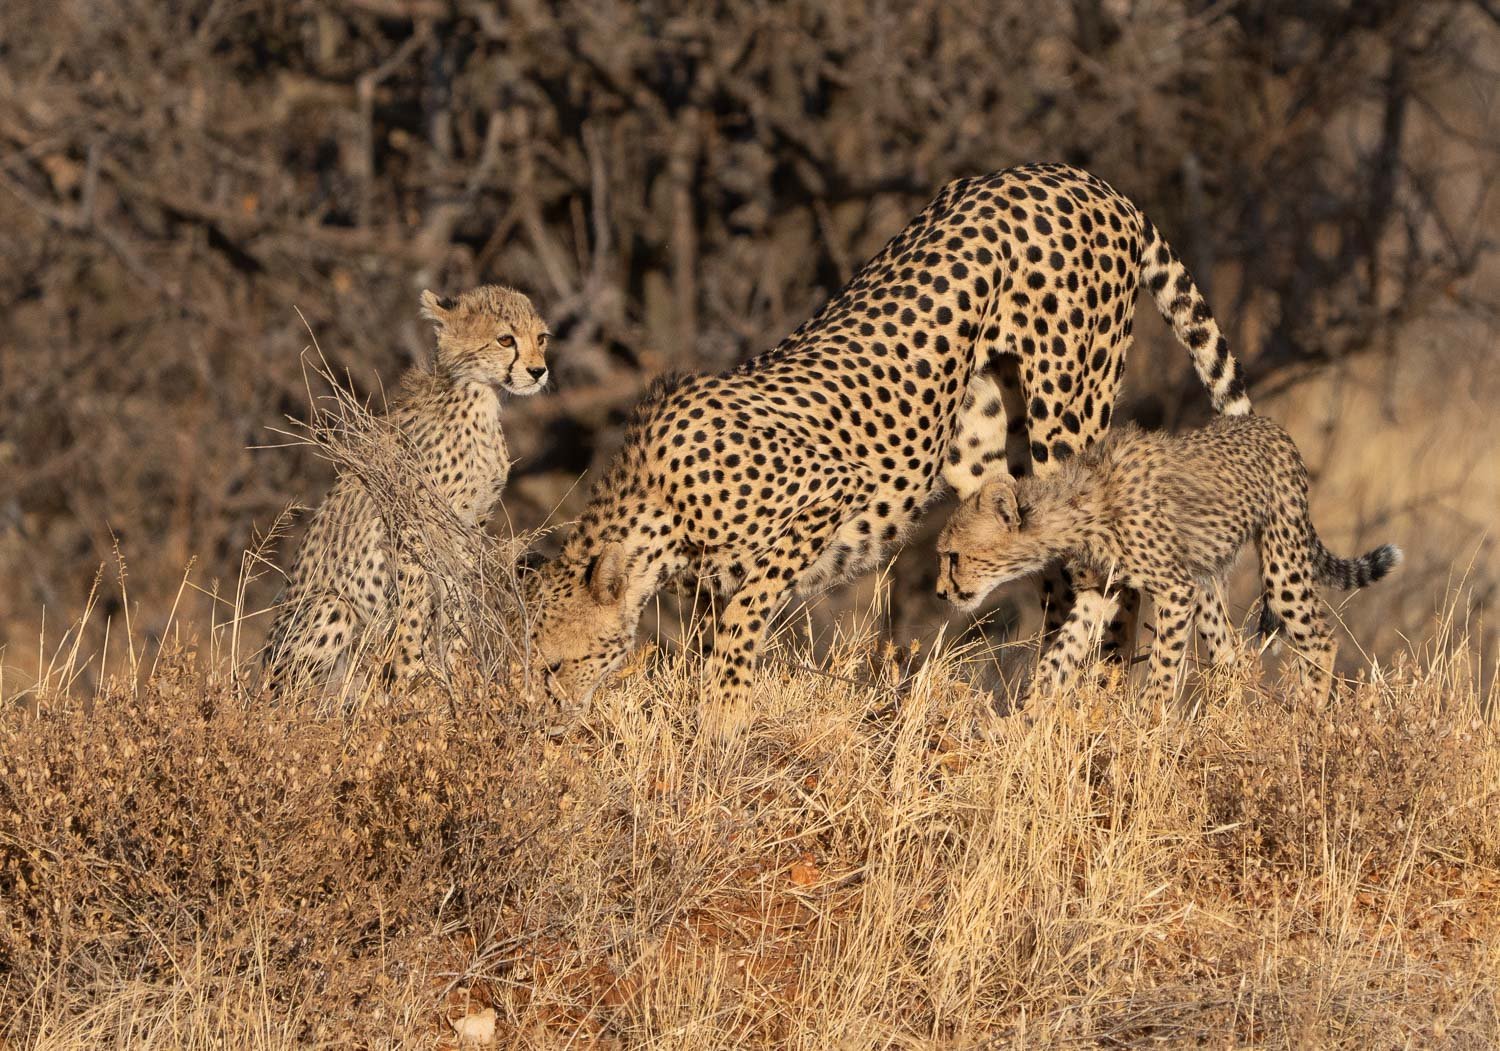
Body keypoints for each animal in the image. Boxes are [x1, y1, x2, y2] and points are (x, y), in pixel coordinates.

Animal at [262, 285, 550, 692]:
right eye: (505, 339)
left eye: (541, 338)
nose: (538, 371)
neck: (479, 401)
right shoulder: (411, 522)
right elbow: (415, 596)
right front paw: (410, 666)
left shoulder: (468, 526)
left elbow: (459, 592)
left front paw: (453, 664)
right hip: (329, 608)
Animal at [527, 163, 1250, 738]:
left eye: (557, 663)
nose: (546, 714)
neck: (652, 500)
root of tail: (1077, 176)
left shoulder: (828, 489)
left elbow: (742, 618)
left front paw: (725, 718)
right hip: (981, 446)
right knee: (1048, 556)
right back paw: (1069, 692)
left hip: (1067, 408)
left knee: (1106, 557)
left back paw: (1084, 693)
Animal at [935, 414, 1401, 706]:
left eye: (953, 556)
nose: (941, 593)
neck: (1077, 511)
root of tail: (1266, 424)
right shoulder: (1099, 592)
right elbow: (1058, 657)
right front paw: (1024, 716)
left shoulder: (1175, 588)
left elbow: (1162, 666)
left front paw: (1147, 726)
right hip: (1209, 582)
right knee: (1230, 661)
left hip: (1281, 558)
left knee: (1319, 637)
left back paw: (1307, 712)